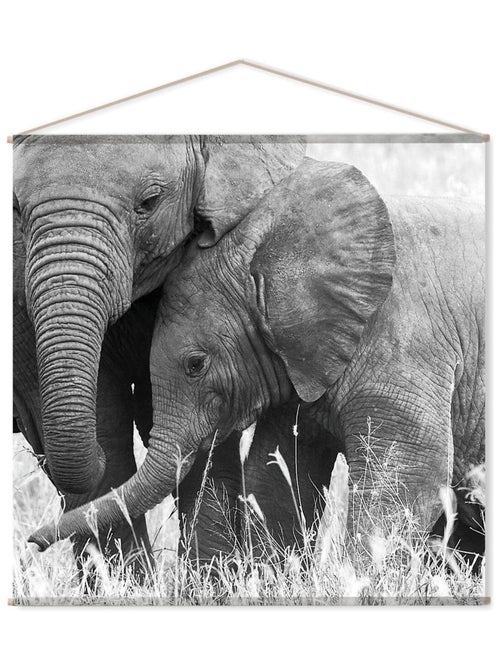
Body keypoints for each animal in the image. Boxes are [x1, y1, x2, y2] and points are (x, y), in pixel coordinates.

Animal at [29, 157, 485, 561]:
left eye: (196, 364)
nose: (32, 542)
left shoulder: (404, 345)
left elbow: (408, 481)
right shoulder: (299, 362)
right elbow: (277, 478)